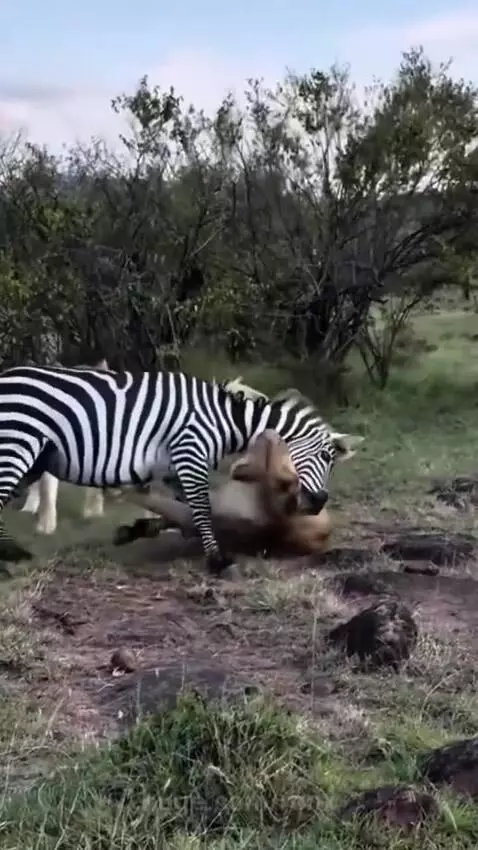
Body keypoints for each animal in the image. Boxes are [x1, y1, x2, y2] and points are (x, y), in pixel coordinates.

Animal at [0, 366, 364, 574]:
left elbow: (190, 509)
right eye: (326, 456)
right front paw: (217, 560)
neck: (224, 419)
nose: (318, 503)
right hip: (18, 443)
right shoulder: (190, 450)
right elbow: (201, 509)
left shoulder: (176, 465)